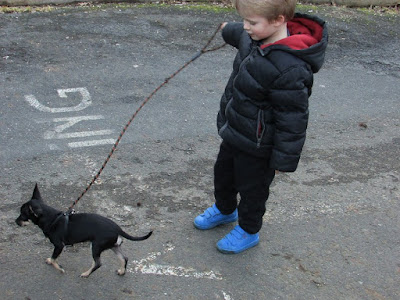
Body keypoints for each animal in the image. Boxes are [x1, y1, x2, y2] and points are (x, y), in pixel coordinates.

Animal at [16, 184, 152, 278]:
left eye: (22, 214)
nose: (16, 221)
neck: (52, 218)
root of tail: (118, 228)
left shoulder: (59, 246)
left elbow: (55, 259)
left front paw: (59, 268)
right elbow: (53, 258)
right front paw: (51, 261)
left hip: (96, 246)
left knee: (98, 264)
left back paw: (86, 274)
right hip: (113, 246)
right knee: (124, 258)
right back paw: (122, 271)